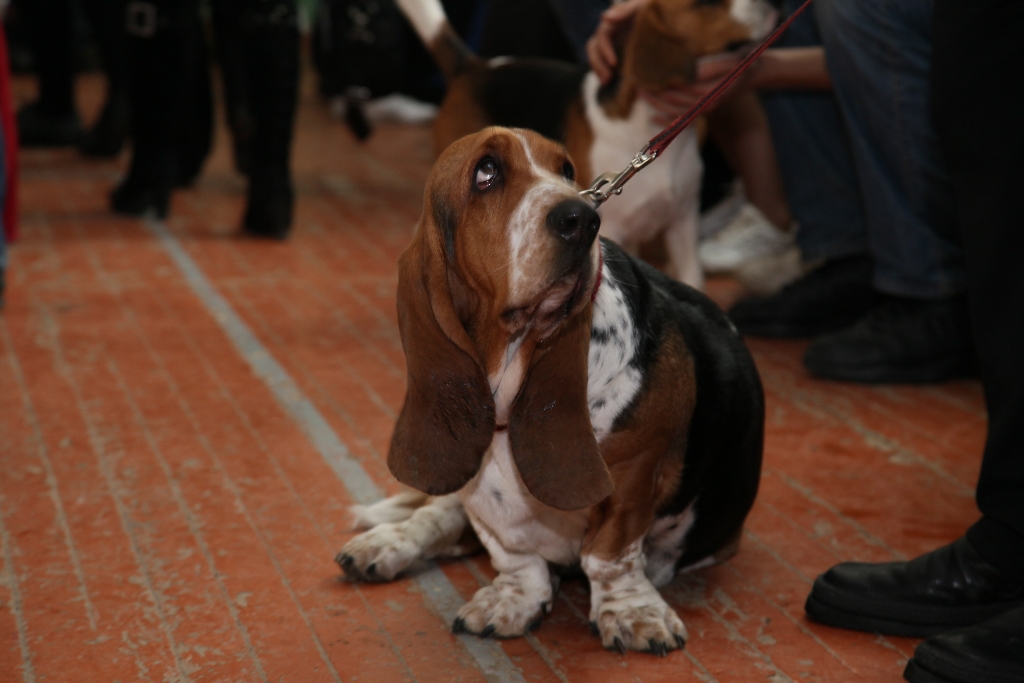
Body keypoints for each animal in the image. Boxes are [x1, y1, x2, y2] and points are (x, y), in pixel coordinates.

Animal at [335, 127, 761, 655]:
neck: (511, 367)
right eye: (486, 172)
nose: (583, 219)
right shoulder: (485, 495)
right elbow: (514, 554)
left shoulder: (635, 471)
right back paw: (384, 545)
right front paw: (515, 598)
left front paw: (632, 613)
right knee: (438, 514)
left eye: (567, 171)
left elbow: (610, 553)